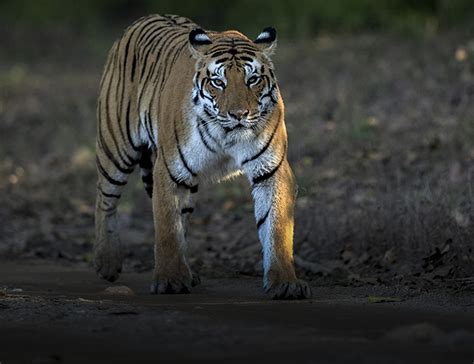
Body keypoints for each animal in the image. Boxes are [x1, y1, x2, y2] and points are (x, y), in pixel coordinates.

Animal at [95, 13, 312, 298]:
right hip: (116, 147)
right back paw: (107, 263)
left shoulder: (271, 171)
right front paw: (171, 280)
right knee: (104, 199)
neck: (227, 135)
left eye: (252, 79)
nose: (238, 114)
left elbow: (277, 227)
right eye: (218, 82)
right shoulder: (169, 171)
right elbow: (167, 228)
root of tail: (143, 19)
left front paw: (285, 282)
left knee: (182, 219)